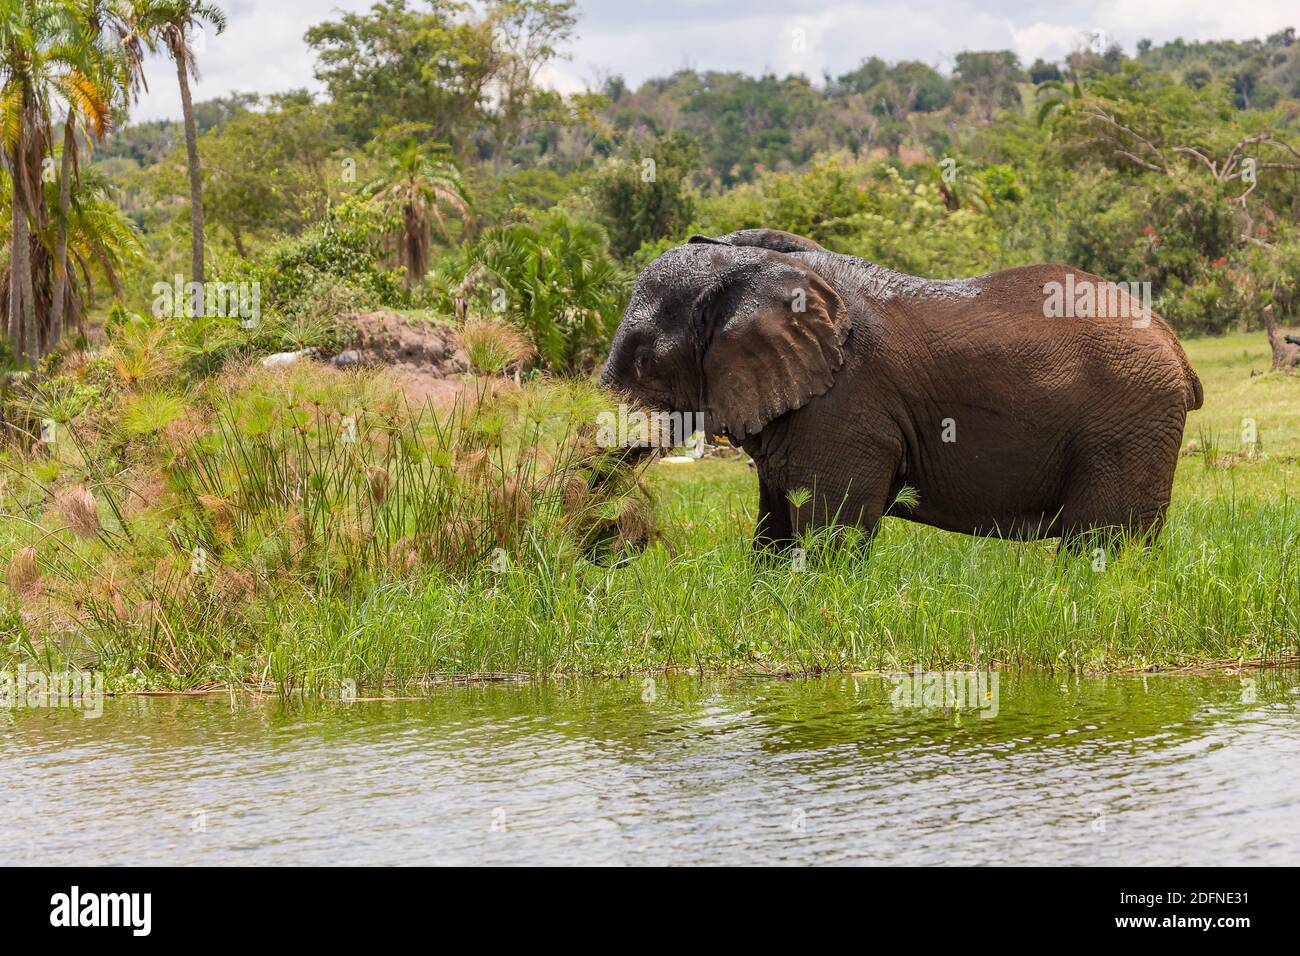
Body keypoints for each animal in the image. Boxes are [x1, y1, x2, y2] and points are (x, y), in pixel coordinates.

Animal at [598, 227, 1206, 554]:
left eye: (646, 364)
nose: (621, 546)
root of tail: (1174, 343)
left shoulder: (846, 404)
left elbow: (831, 536)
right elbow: (774, 534)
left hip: (1127, 418)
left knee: (1100, 545)